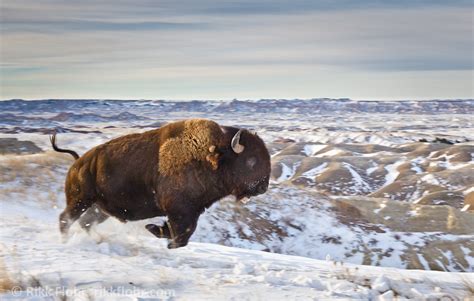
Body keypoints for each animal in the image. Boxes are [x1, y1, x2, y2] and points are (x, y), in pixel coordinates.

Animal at [51, 118, 270, 247]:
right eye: (251, 160)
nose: (263, 186)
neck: (209, 155)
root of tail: (78, 162)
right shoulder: (180, 210)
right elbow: (181, 234)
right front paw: (157, 232)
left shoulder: (191, 211)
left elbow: (184, 234)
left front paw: (156, 230)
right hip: (80, 201)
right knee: (65, 219)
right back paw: (65, 242)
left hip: (99, 208)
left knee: (86, 222)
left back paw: (96, 240)